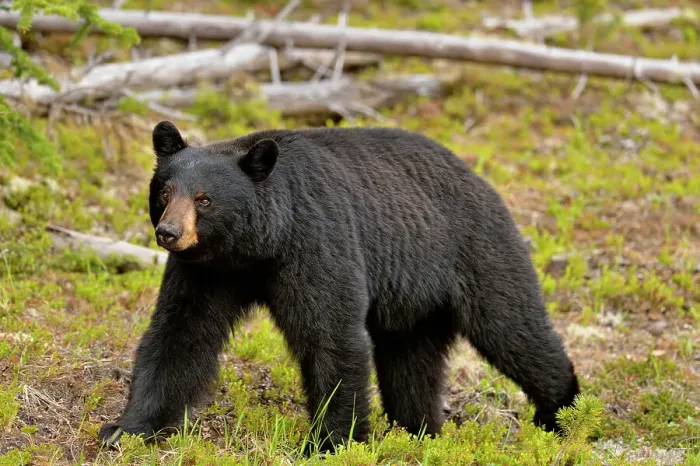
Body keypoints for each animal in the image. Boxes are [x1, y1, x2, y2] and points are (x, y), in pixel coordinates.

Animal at [98, 121, 580, 452]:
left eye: (204, 198)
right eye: (164, 192)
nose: (169, 233)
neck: (257, 246)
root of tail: (478, 177)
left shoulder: (316, 242)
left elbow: (330, 335)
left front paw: (331, 442)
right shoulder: (208, 271)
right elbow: (180, 335)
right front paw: (126, 427)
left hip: (476, 251)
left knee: (514, 329)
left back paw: (562, 412)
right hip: (414, 303)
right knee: (411, 364)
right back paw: (417, 430)